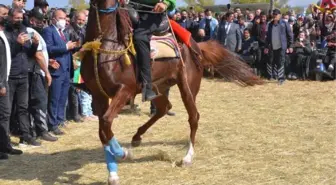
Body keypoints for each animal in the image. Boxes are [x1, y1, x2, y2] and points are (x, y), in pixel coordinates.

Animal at [81, 0, 262, 184]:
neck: (105, 44)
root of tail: (196, 46)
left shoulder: (125, 90)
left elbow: (106, 121)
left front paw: (123, 153)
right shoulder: (98, 95)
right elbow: (103, 131)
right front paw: (113, 174)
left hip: (187, 87)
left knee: (193, 117)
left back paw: (188, 157)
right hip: (157, 88)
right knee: (163, 108)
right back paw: (137, 137)